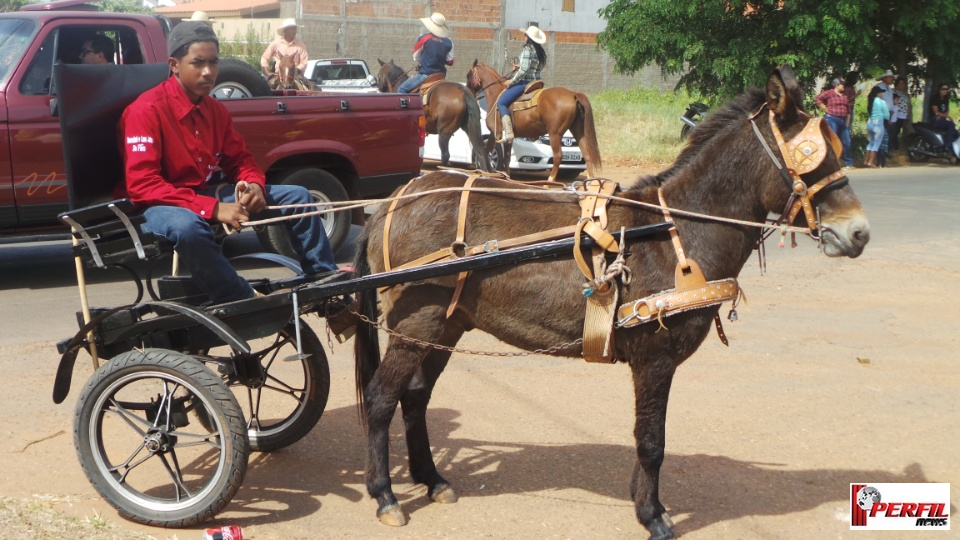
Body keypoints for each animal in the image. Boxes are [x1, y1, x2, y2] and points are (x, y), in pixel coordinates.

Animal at [468, 59, 604, 181]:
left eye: (468, 75)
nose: (469, 92)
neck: (495, 95)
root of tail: (572, 94)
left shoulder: (494, 133)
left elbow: (486, 151)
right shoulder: (507, 138)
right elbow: (504, 157)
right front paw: (505, 176)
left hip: (555, 134)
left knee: (558, 156)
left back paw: (549, 182)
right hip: (578, 130)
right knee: (586, 153)